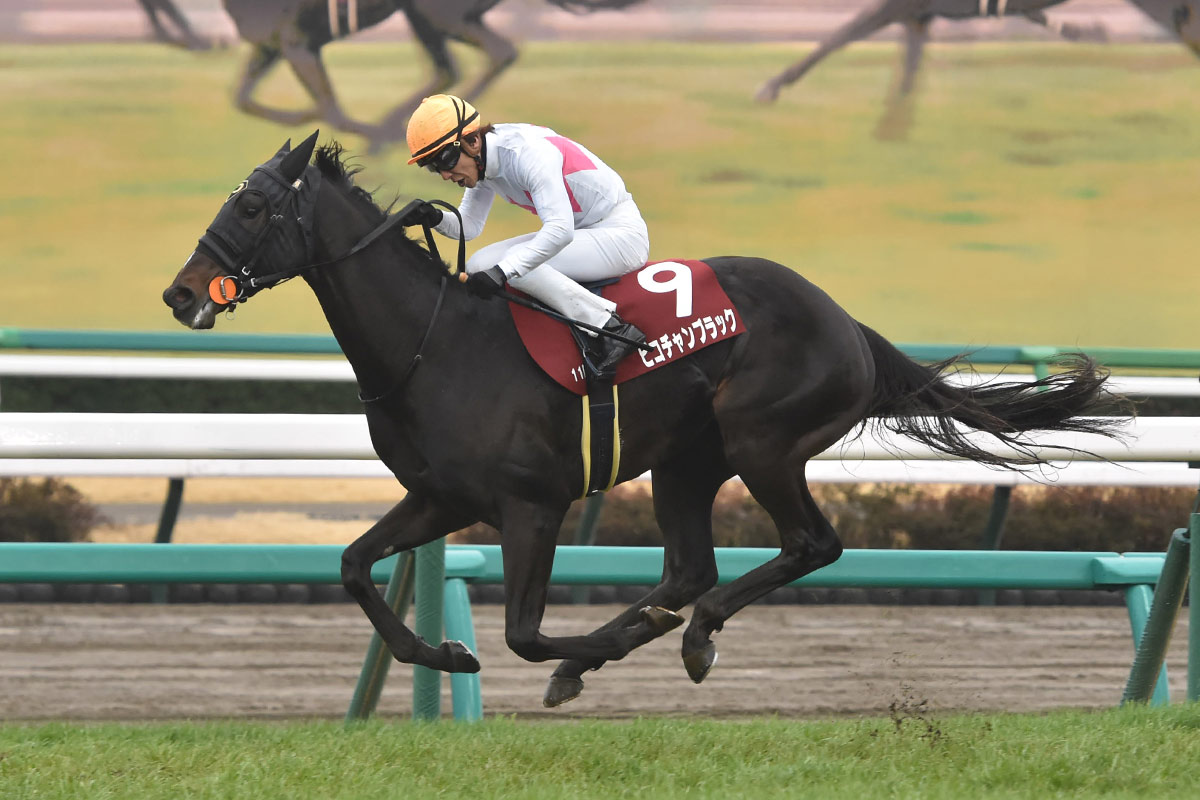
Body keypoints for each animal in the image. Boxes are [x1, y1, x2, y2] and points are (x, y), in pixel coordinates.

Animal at [161, 132, 1126, 708]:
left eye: (252, 206)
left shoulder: (532, 505)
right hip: (686, 462)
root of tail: (849, 325)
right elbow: (355, 567)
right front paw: (447, 656)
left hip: (764, 441)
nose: (179, 292)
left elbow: (523, 632)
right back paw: (650, 635)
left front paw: (573, 648)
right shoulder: (441, 497)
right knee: (691, 567)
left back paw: (686, 637)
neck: (432, 344)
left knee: (808, 546)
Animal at [219, 0, 642, 150]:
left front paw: (372, 136)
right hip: (428, 16)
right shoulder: (272, 46)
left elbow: (333, 112)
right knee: (455, 67)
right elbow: (241, 99)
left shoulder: (298, 44)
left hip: (435, 12)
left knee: (495, 54)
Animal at [755, 0, 1200, 140]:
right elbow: (908, 71)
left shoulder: (902, 6)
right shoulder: (917, 15)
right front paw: (892, 132)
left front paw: (770, 87)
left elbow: (837, 37)